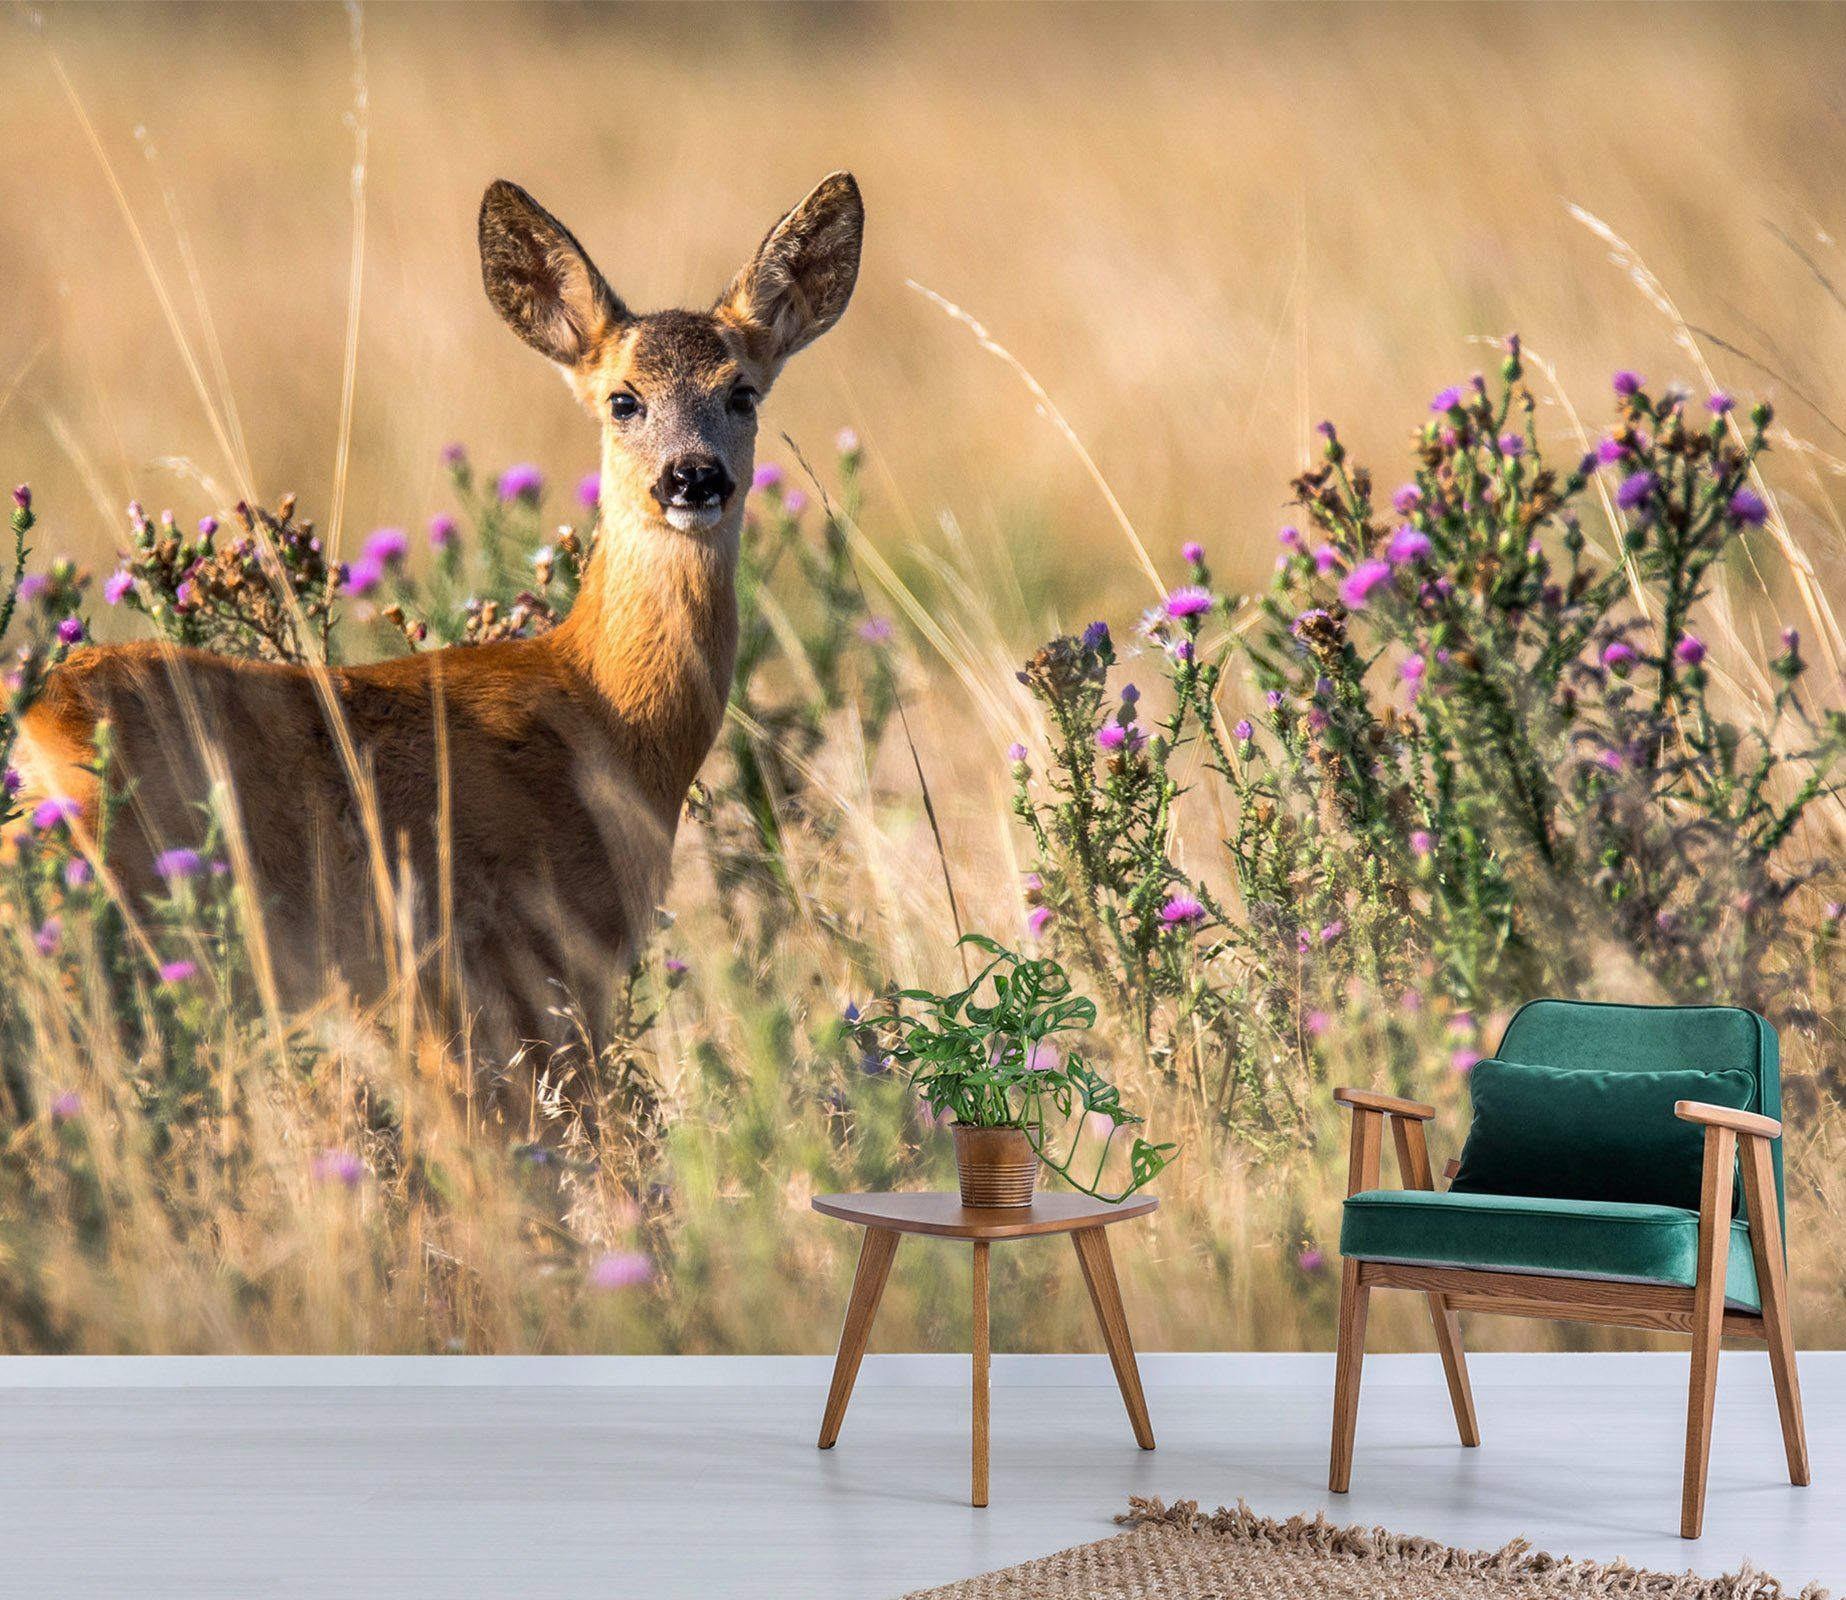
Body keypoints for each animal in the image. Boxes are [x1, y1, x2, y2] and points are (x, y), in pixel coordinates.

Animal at [14, 172, 864, 1061]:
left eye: (742, 393)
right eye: (623, 400)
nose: (693, 477)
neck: (605, 714)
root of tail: (43, 717)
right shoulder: (524, 962)